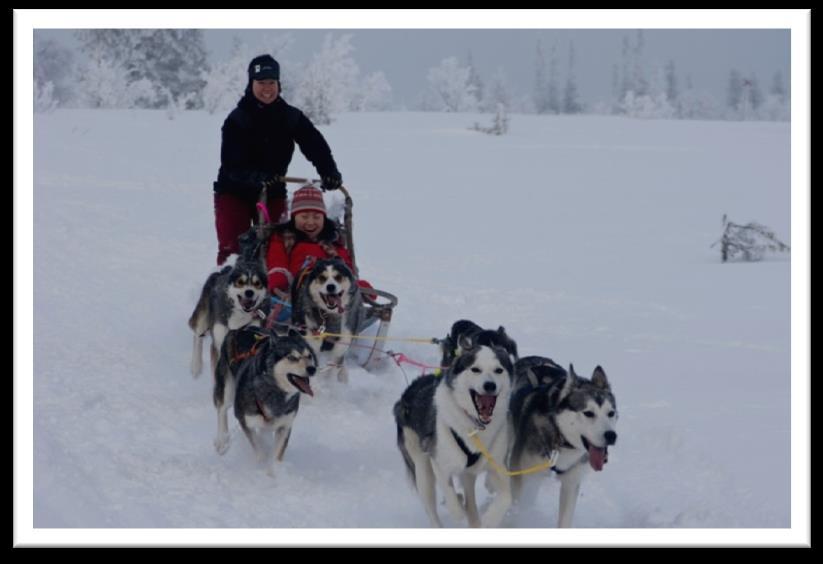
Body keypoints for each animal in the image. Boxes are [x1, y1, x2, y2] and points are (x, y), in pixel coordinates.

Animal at [187, 253, 268, 382]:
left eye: (257, 283)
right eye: (240, 282)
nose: (249, 292)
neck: (239, 314)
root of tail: (223, 270)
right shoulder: (219, 344)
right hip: (202, 318)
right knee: (197, 335)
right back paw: (196, 366)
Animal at [211, 326, 318, 476]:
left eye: (309, 356)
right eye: (291, 357)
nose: (312, 369)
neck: (276, 392)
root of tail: (240, 329)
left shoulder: (284, 426)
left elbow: (277, 455)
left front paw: (273, 472)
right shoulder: (246, 421)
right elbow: (259, 449)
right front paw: (262, 464)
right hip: (226, 389)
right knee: (222, 410)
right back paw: (222, 441)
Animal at [392, 340, 516, 528]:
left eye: (498, 370)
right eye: (475, 369)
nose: (490, 385)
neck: (474, 425)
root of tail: (407, 393)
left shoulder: (497, 465)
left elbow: (507, 497)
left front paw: (490, 518)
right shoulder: (439, 463)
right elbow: (452, 501)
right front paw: (458, 504)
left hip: (468, 474)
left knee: (471, 500)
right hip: (422, 470)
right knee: (433, 510)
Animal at [508, 362, 616, 528]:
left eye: (610, 413)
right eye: (588, 413)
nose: (611, 436)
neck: (561, 439)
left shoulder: (571, 483)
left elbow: (565, 520)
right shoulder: (522, 476)